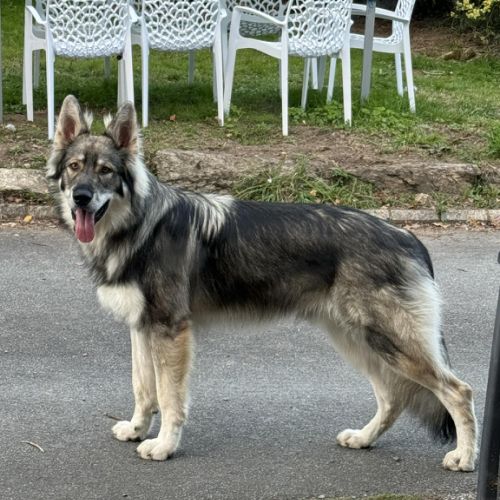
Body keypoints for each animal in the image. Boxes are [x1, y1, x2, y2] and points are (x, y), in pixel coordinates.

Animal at [47, 95, 477, 471]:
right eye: (74, 167)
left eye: (105, 171)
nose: (81, 197)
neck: (140, 226)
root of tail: (407, 236)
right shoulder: (141, 329)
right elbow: (143, 390)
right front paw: (137, 430)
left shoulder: (170, 332)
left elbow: (169, 400)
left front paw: (164, 446)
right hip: (359, 342)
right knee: (392, 399)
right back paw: (364, 438)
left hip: (389, 343)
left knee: (459, 391)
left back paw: (464, 457)